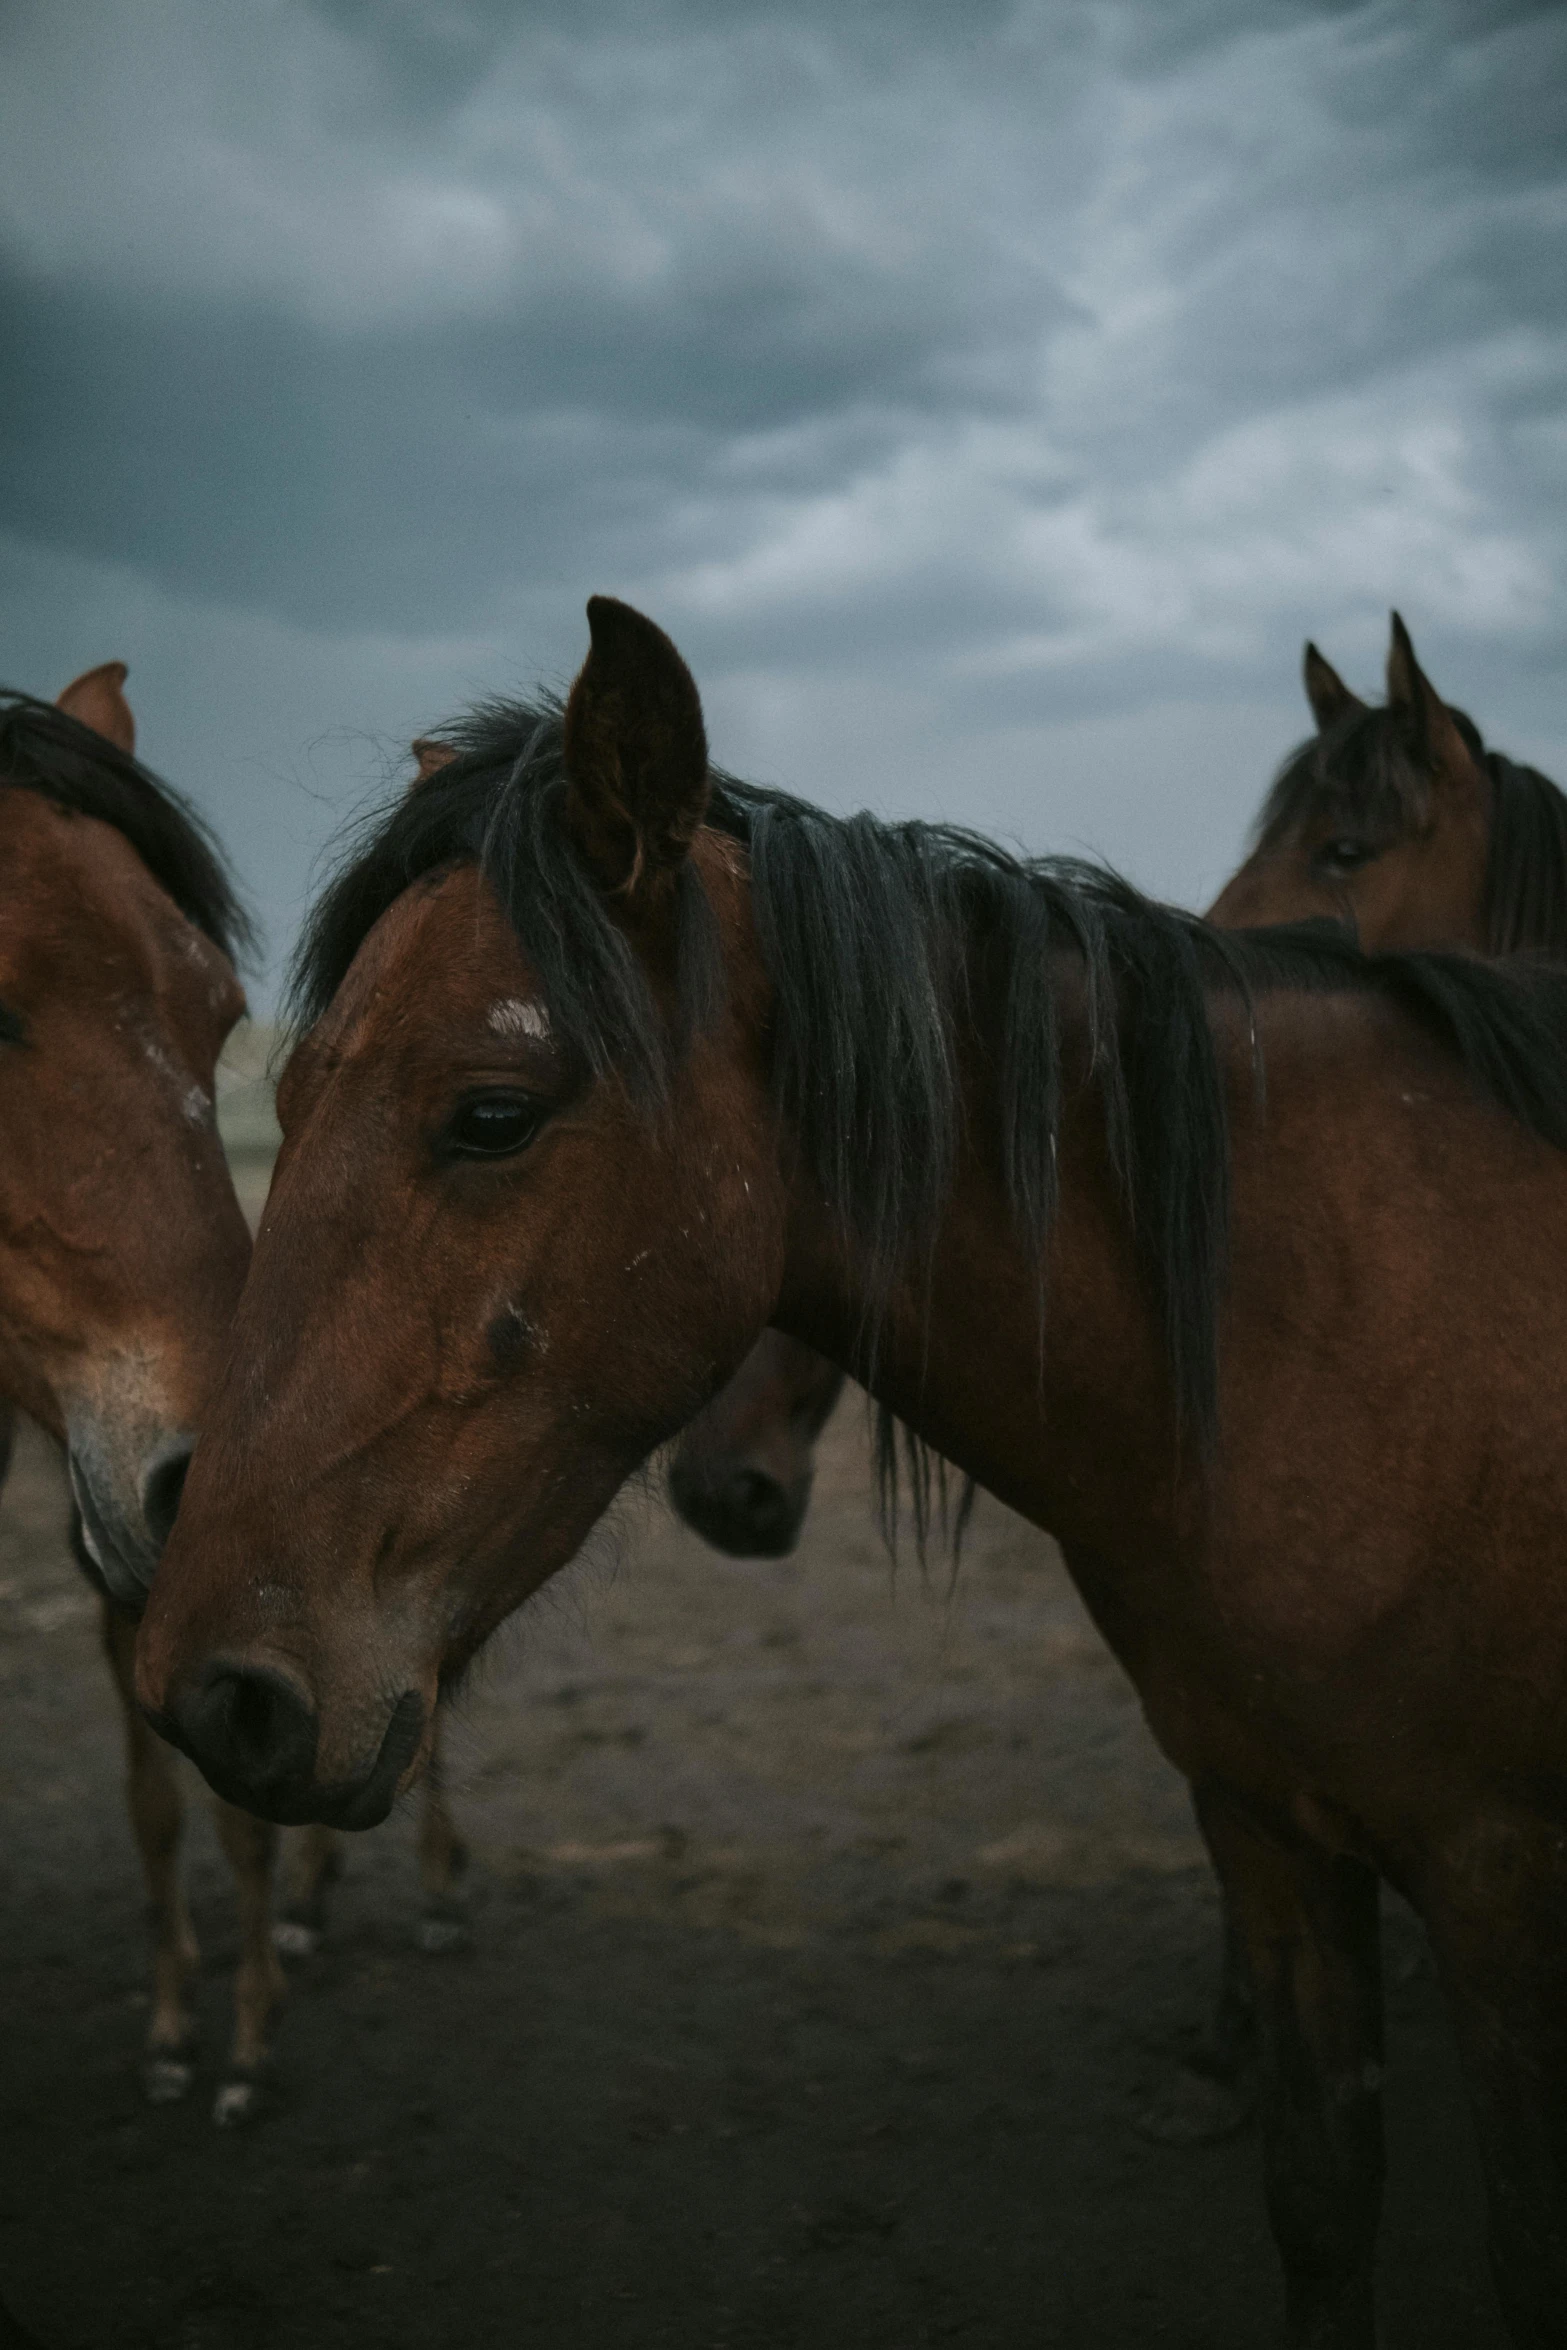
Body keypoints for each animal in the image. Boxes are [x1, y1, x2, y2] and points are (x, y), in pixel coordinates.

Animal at [140, 596, 1567, 2340]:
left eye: (489, 1113)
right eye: (282, 1094)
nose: (212, 1689)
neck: (1343, 1328)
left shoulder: (1500, 1885)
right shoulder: (1270, 1828)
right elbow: (1315, 2194)